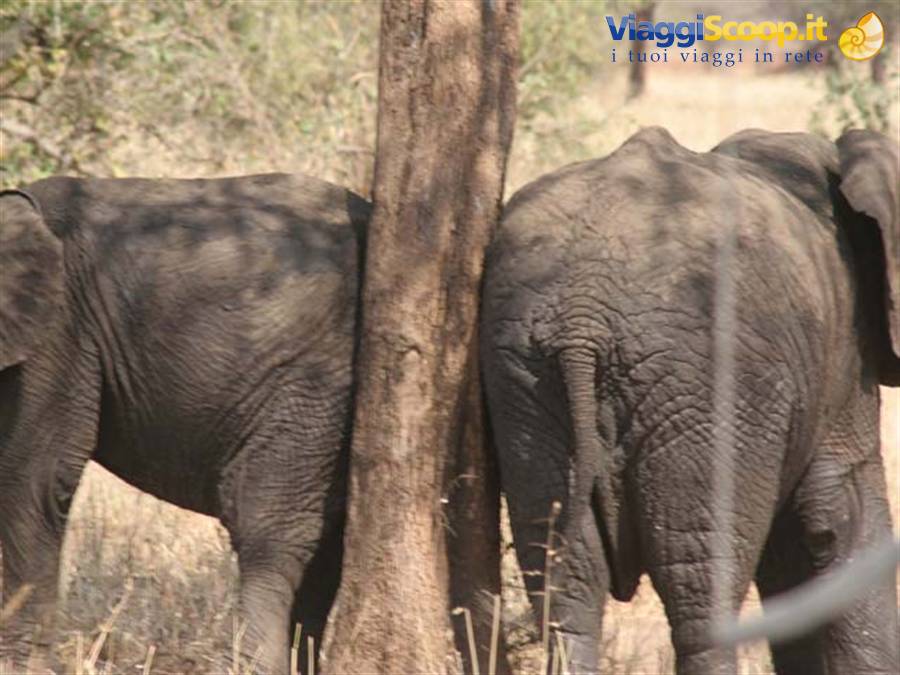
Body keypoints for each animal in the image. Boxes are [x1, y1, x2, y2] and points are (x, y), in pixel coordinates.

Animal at [0, 173, 370, 673]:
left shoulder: (54, 333)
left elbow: (34, 478)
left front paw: (21, 667)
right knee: (324, 551)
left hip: (315, 384)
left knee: (272, 531)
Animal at [481, 127, 899, 674]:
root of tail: (583, 315)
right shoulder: (843, 355)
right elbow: (841, 518)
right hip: (706, 386)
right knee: (701, 593)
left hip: (526, 379)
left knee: (565, 586)